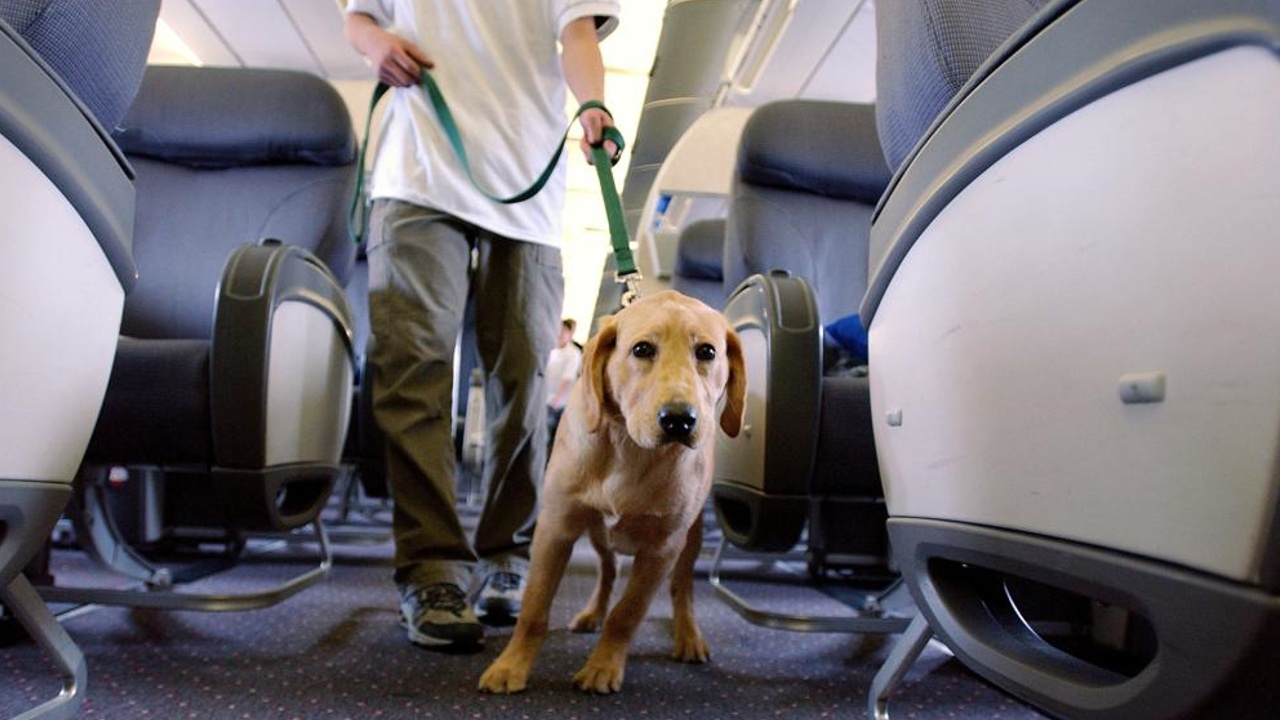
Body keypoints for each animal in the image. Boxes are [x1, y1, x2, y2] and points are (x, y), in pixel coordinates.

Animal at [476, 288, 747, 691]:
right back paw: (592, 612)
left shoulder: (662, 550)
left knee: (682, 588)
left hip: (691, 537)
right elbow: (534, 608)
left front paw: (603, 666)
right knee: (608, 571)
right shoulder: (555, 528)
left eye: (707, 352)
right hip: (597, 534)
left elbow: (627, 614)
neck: (628, 448)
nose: (679, 420)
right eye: (642, 349)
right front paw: (511, 666)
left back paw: (688, 635)